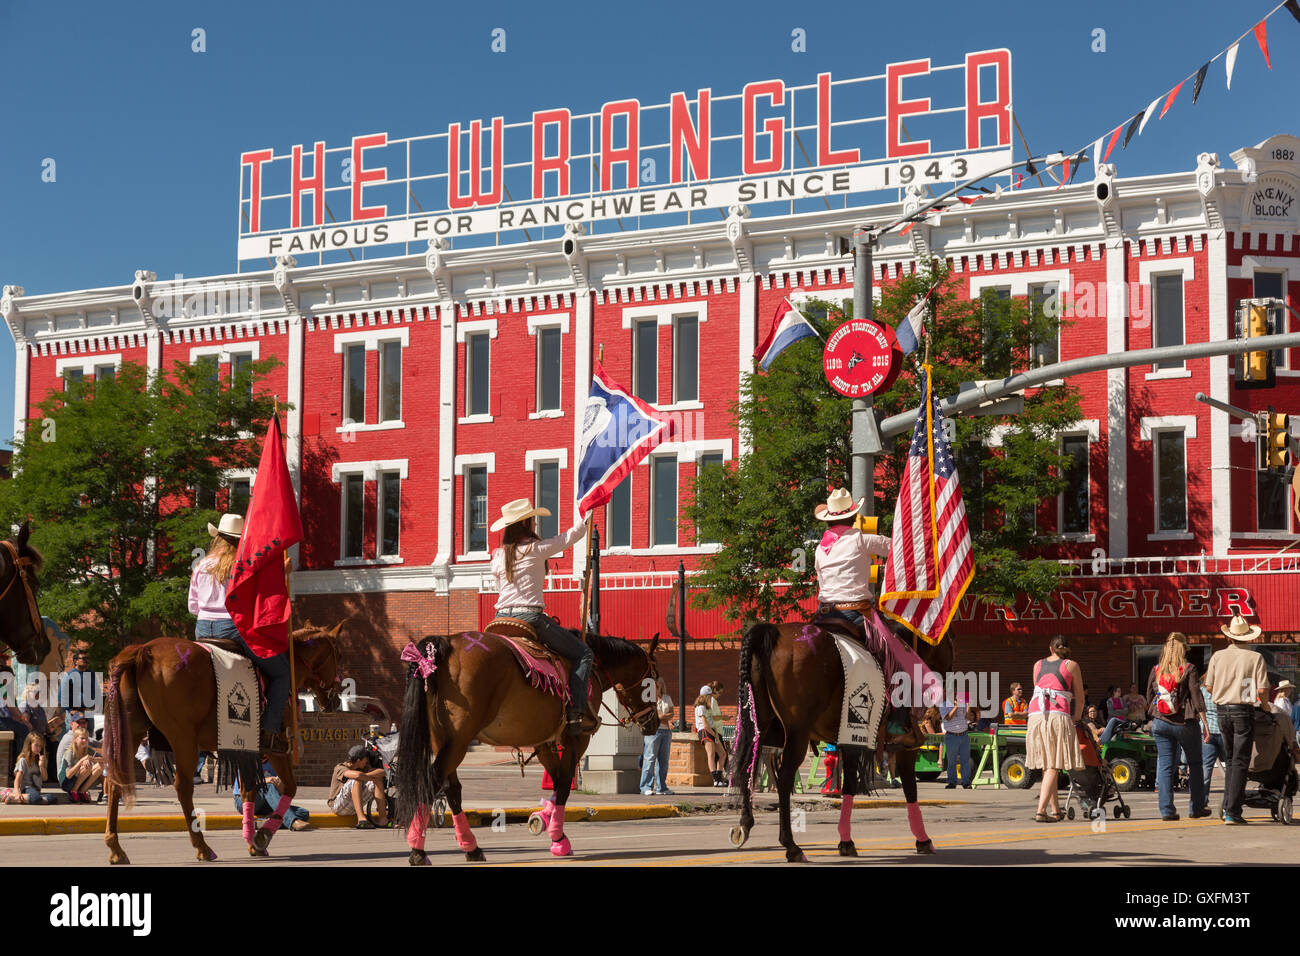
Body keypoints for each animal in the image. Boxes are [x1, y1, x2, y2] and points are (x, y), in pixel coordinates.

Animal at [102, 624, 345, 863]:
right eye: (337, 654)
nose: (336, 699)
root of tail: (144, 650)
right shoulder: (278, 749)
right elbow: (289, 787)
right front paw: (262, 836)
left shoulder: (245, 749)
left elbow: (248, 791)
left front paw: (252, 840)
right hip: (183, 738)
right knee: (183, 787)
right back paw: (202, 847)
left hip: (132, 733)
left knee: (115, 782)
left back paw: (116, 848)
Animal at [395, 632, 660, 863]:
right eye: (654, 681)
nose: (655, 723)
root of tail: (447, 644)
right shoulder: (577, 738)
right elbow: (564, 784)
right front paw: (558, 839)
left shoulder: (544, 742)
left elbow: (556, 781)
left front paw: (541, 818)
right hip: (459, 740)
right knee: (433, 781)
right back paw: (418, 850)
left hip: (444, 738)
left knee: (452, 790)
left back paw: (471, 848)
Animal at [733, 616, 956, 863]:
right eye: (950, 644)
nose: (938, 714)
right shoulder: (906, 746)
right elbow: (910, 786)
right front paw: (923, 840)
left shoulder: (851, 740)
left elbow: (849, 784)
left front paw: (846, 842)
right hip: (797, 732)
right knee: (784, 779)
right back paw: (791, 846)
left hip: (760, 726)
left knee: (748, 768)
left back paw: (745, 824)